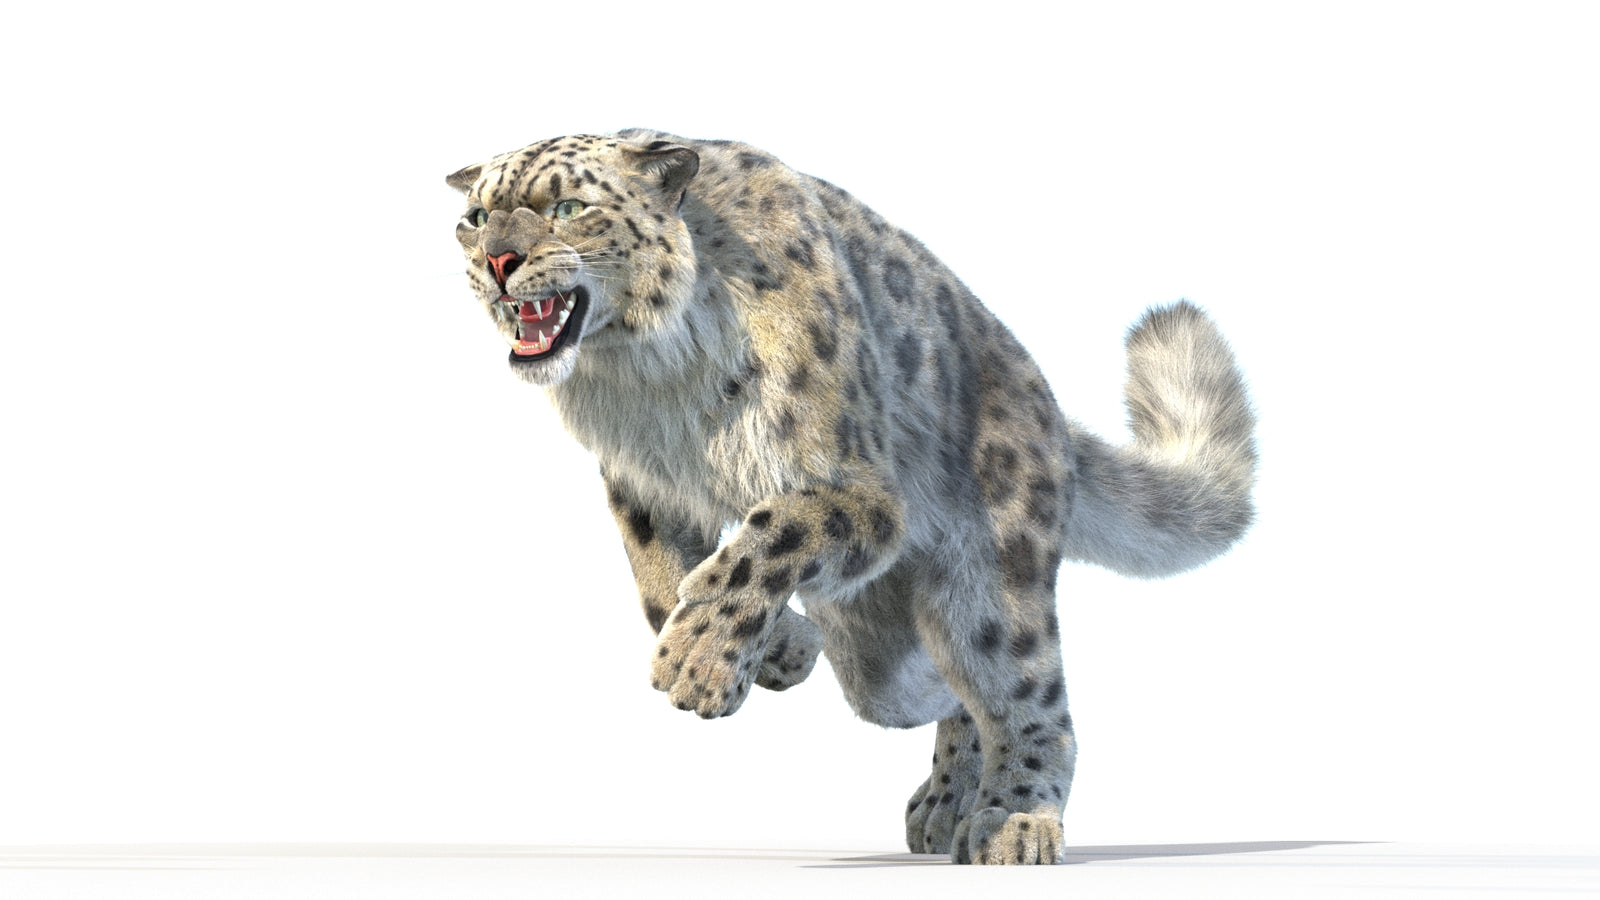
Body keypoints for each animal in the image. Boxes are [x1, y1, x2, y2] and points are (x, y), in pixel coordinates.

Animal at [444, 129, 1257, 865]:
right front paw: (774, 650)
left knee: (1021, 690)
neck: (648, 377)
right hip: (879, 658)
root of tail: (1049, 413)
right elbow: (657, 584)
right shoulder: (642, 481)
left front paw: (698, 664)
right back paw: (943, 804)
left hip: (991, 581)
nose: (496, 262)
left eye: (568, 207)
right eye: (476, 217)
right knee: (949, 690)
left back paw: (1012, 821)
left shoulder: (854, 486)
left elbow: (767, 536)